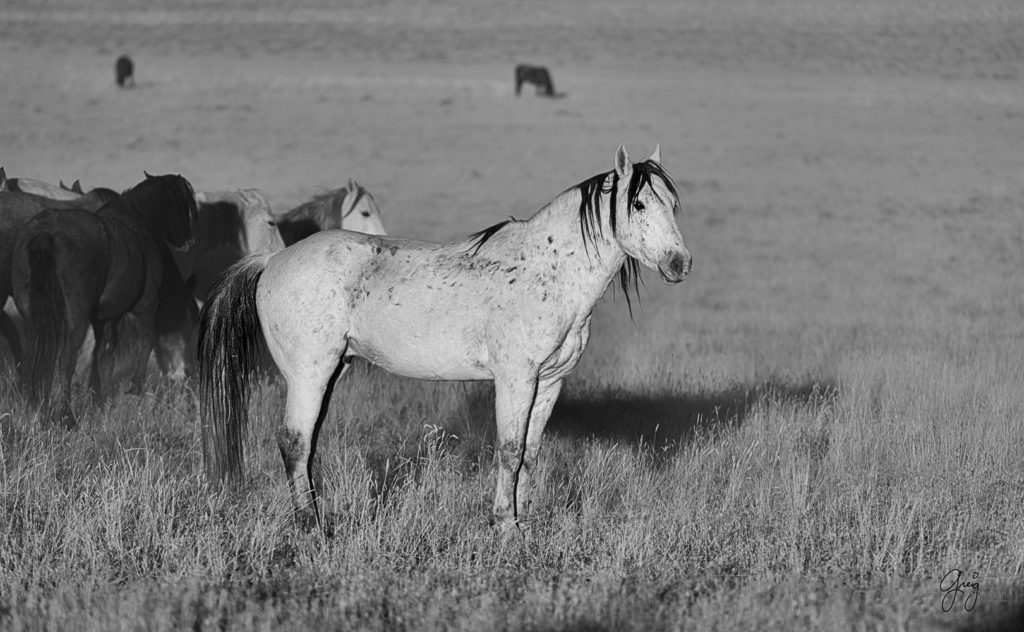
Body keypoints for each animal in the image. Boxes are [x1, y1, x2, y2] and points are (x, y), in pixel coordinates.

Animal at [197, 143, 696, 528]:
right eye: (638, 205)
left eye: (672, 205)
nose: (679, 263)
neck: (548, 269)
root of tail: (270, 261)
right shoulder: (516, 379)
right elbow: (510, 450)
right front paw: (505, 526)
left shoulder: (550, 382)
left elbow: (531, 452)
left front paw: (526, 521)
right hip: (309, 373)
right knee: (294, 442)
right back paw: (311, 526)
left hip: (331, 372)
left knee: (307, 442)